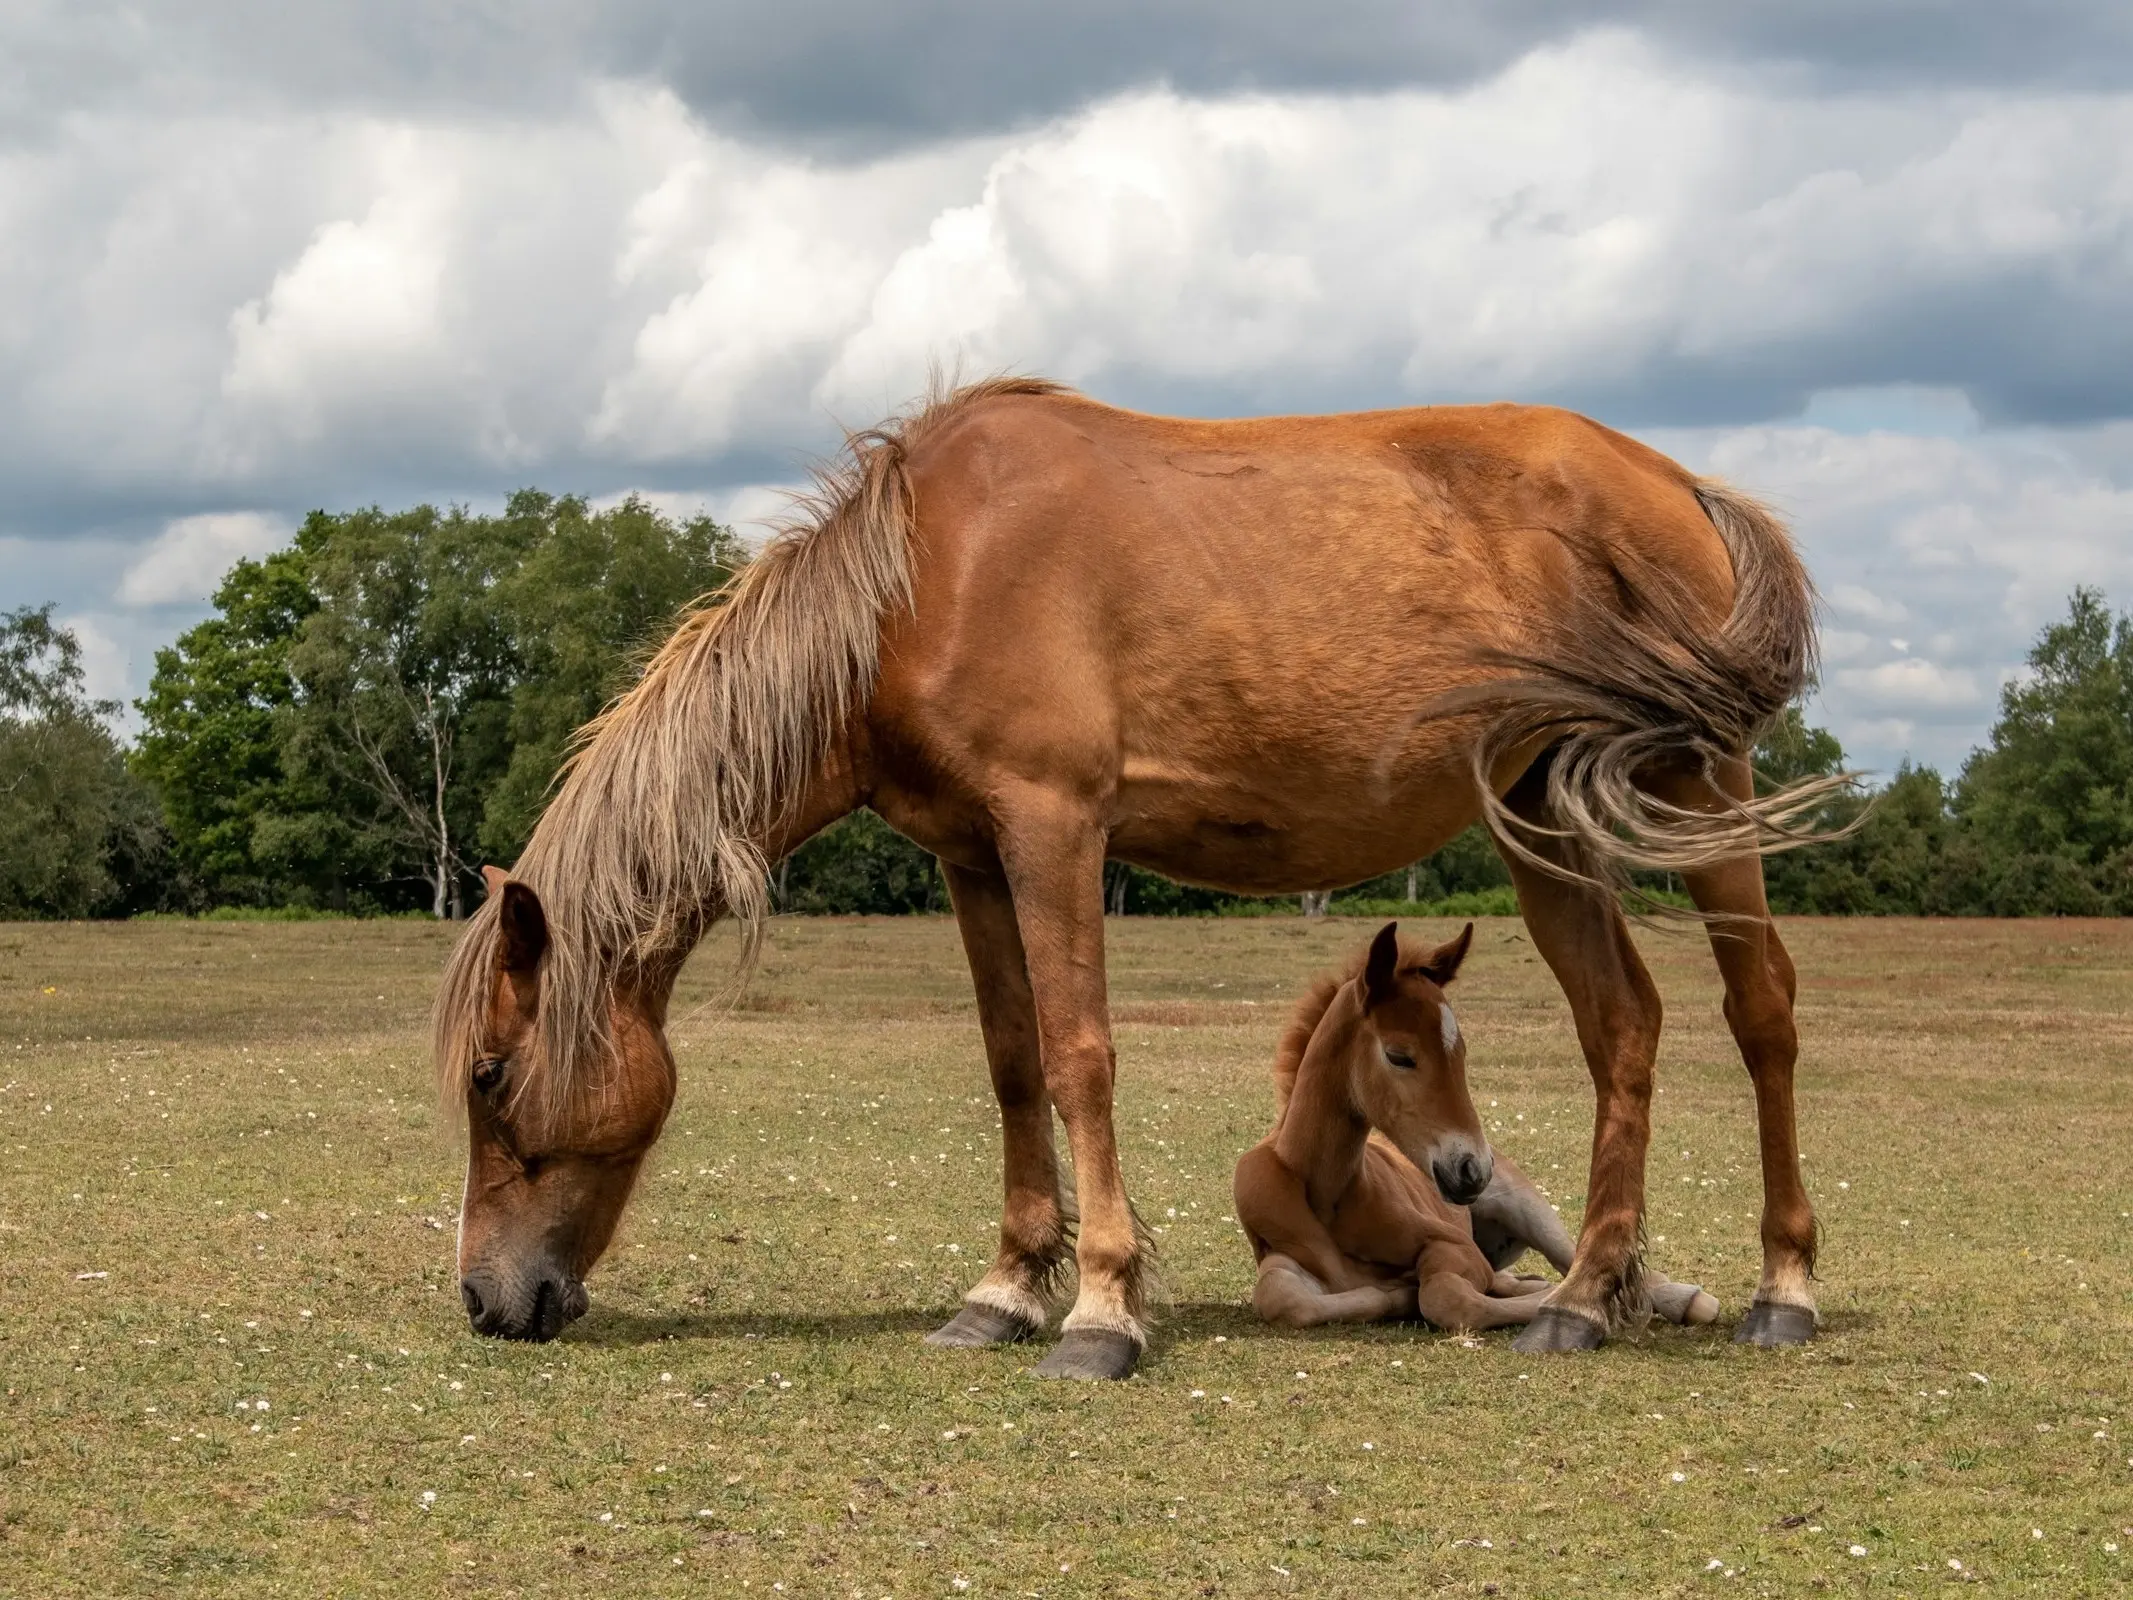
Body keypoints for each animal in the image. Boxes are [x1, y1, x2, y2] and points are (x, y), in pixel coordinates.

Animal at [1237, 925, 1714, 1339]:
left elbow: (1447, 1297)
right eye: (1399, 1055)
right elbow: (1281, 1297)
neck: (1330, 1194)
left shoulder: (1452, 1245)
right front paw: (1393, 1293)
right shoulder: (1284, 1259)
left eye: (1462, 1052)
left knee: (1576, 1258)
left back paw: (1683, 1299)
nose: (1472, 1169)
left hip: (1529, 1209)